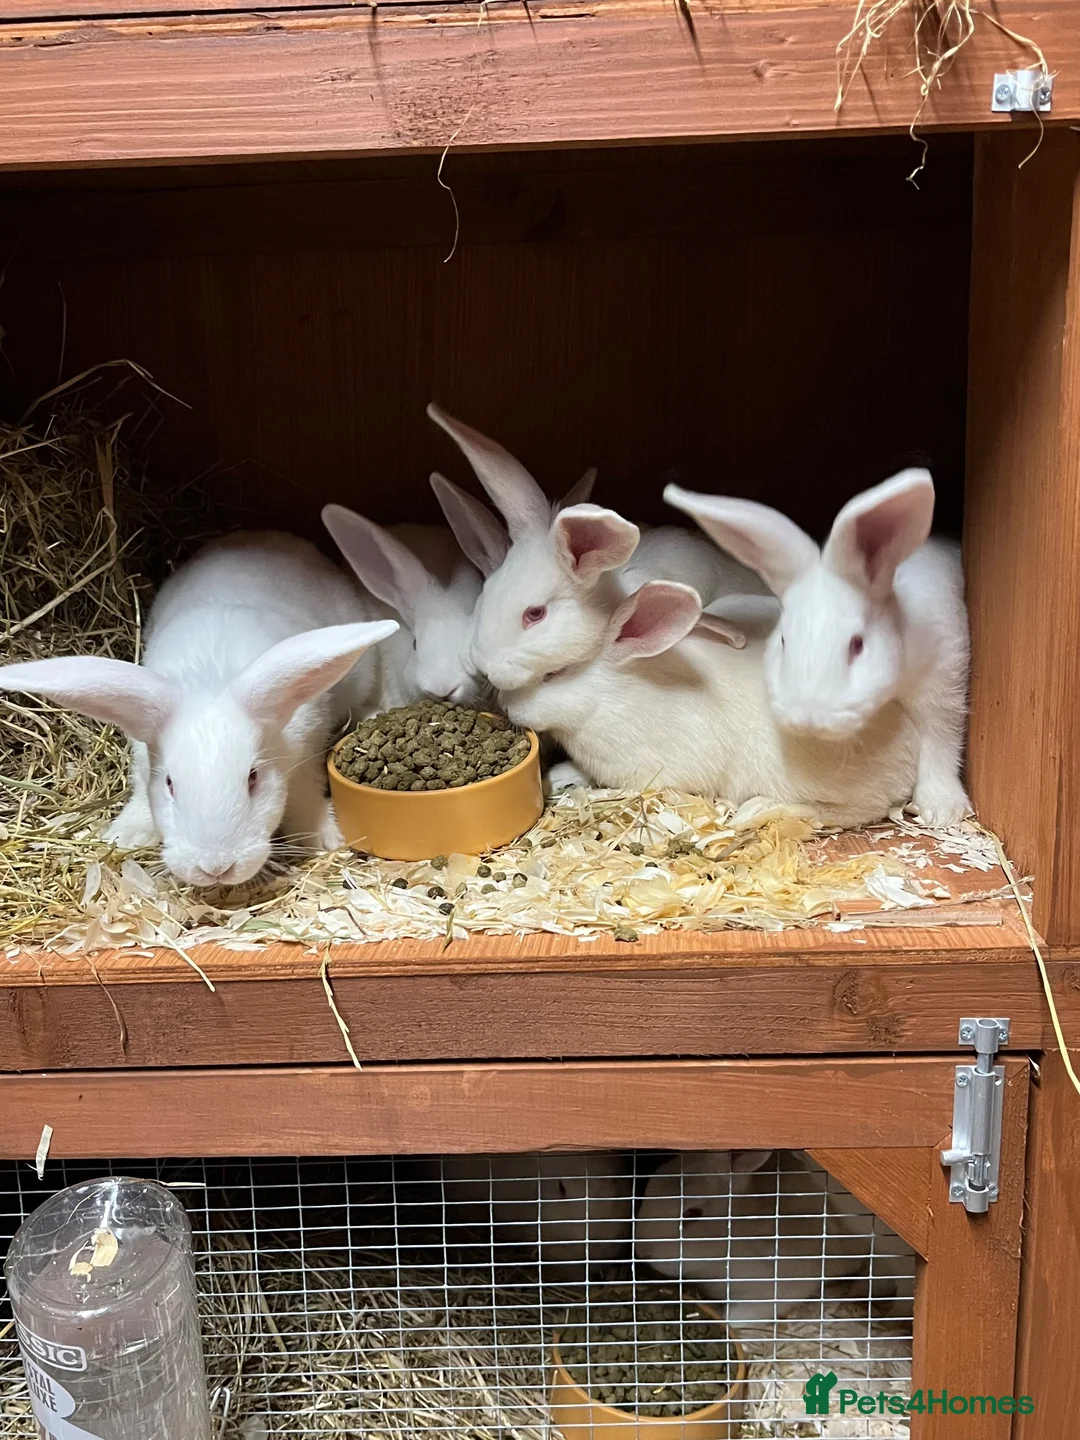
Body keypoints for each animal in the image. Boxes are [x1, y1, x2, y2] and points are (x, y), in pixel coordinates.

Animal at [0, 531, 398, 887]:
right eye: (170, 784)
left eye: (253, 778)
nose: (216, 868)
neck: (212, 677)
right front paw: (126, 834)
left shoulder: (307, 747)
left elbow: (304, 791)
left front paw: (323, 837)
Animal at [501, 579, 919, 830]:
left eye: (555, 673)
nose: (508, 707)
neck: (606, 699)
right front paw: (561, 776)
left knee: (849, 811)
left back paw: (756, 811)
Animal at [665, 470, 971, 828]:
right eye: (784, 640)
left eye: (857, 644)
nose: (808, 719)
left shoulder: (943, 681)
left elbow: (940, 743)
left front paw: (941, 810)